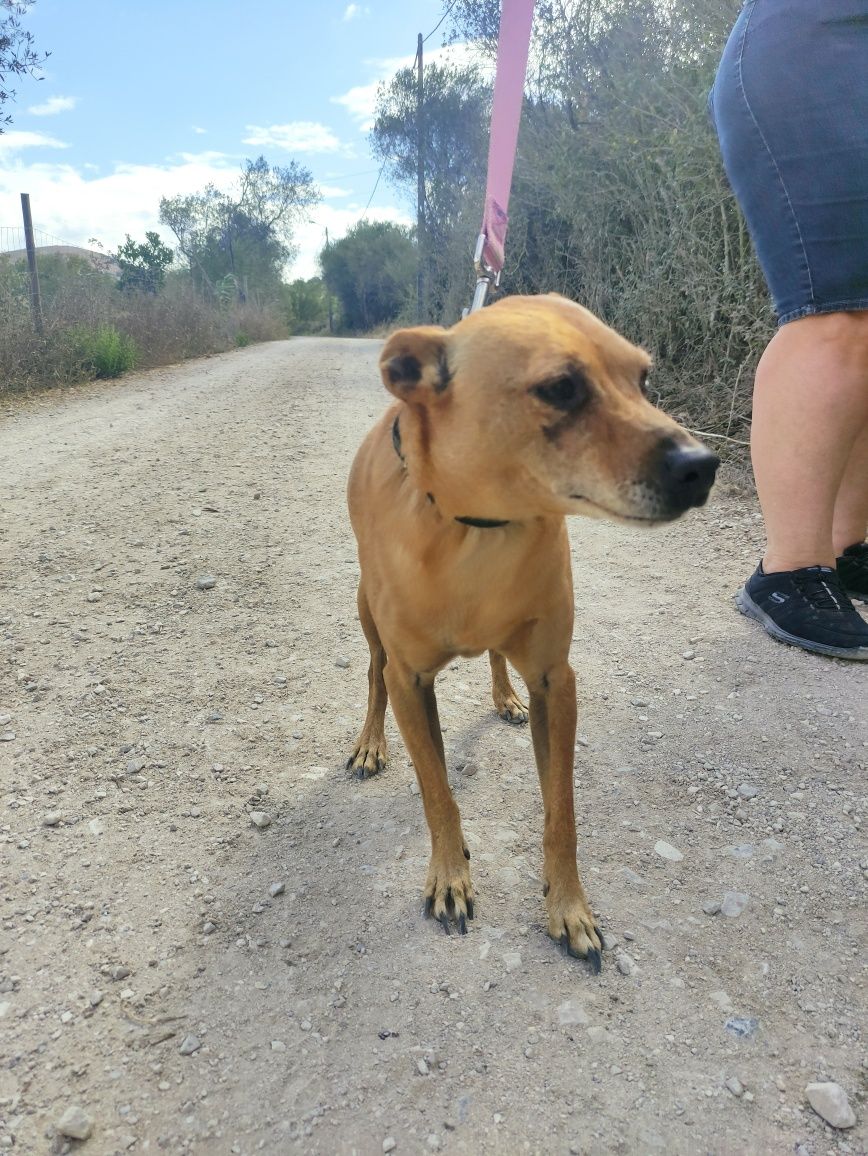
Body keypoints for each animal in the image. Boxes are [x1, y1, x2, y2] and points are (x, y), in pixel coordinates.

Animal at [346, 295, 721, 966]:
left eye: (644, 379)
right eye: (561, 388)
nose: (703, 466)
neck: (478, 529)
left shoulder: (556, 680)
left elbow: (561, 813)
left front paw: (569, 906)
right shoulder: (411, 679)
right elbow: (437, 791)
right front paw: (450, 875)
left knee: (497, 655)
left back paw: (504, 696)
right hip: (368, 616)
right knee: (373, 675)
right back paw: (371, 742)